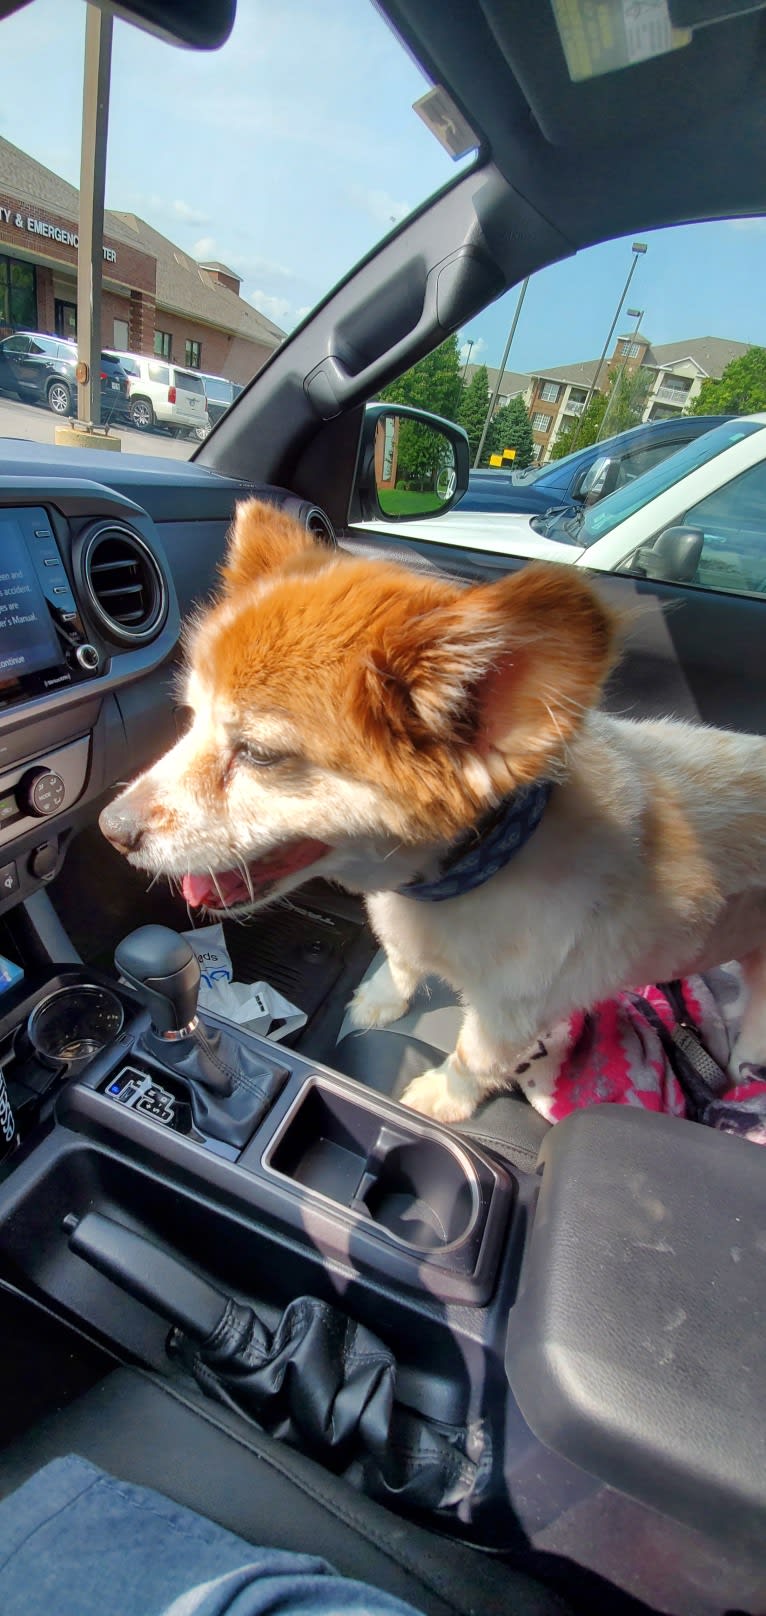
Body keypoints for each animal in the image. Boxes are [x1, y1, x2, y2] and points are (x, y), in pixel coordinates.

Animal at [98, 500, 766, 1124]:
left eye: (259, 753)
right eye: (191, 719)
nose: (110, 830)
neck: (468, 873)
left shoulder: (511, 1012)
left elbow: (474, 1058)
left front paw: (443, 1097)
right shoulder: (405, 934)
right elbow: (399, 961)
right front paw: (381, 1001)